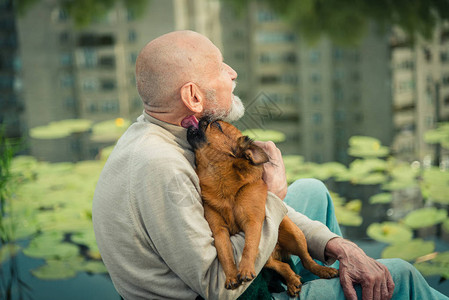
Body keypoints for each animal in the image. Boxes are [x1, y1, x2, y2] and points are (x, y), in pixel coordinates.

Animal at [186, 118, 336, 298]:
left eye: (217, 125)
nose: (203, 118)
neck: (218, 176)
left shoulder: (253, 222)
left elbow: (248, 247)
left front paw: (244, 269)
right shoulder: (219, 231)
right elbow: (225, 254)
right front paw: (231, 277)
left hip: (294, 233)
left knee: (307, 260)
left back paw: (323, 271)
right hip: (266, 259)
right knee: (282, 265)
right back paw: (292, 281)